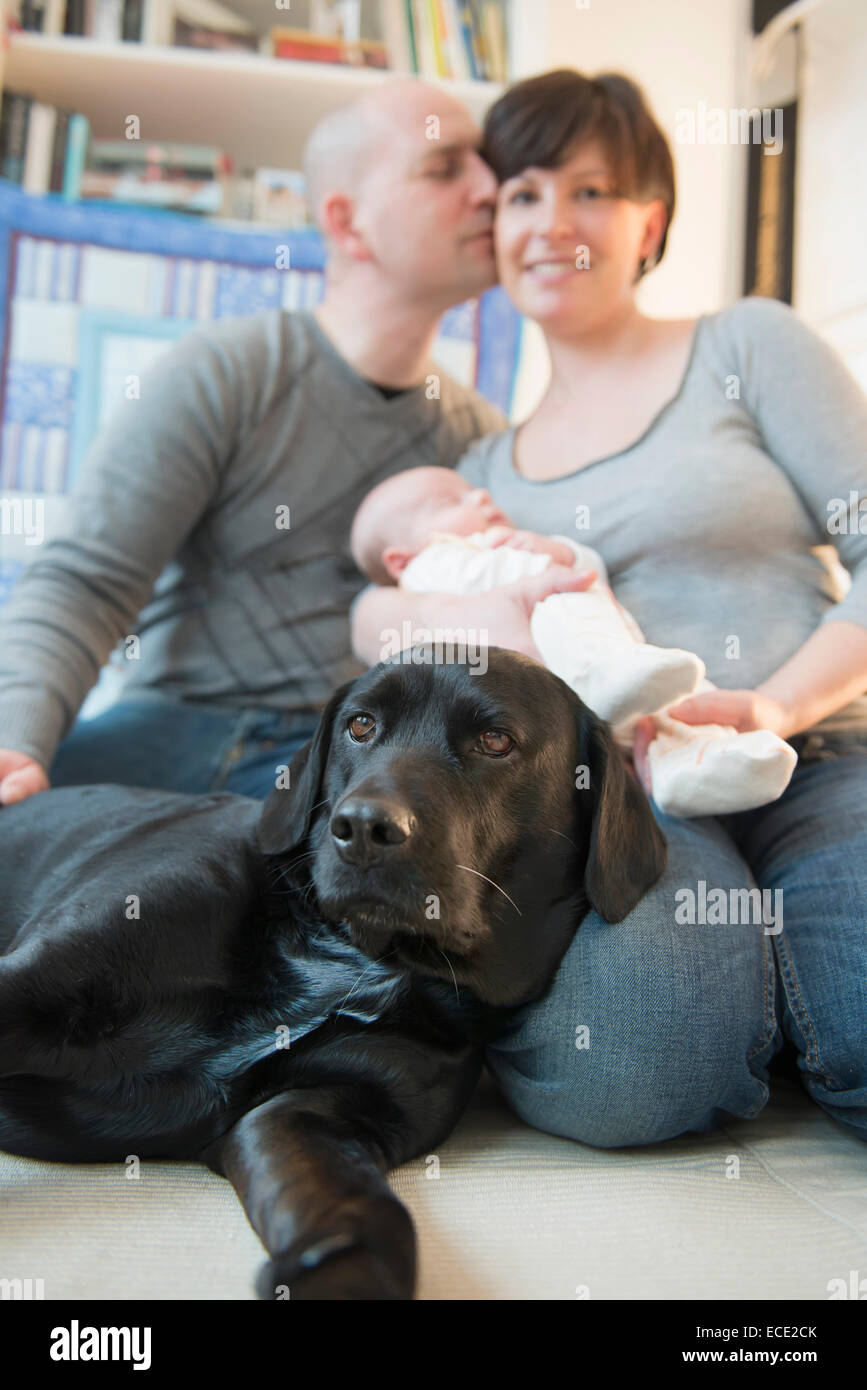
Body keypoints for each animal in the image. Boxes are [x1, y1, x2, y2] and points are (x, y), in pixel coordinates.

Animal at [0, 644, 664, 1295]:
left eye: (495, 740)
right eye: (360, 725)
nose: (364, 827)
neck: (348, 958)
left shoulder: (308, 1116)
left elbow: (373, 1218)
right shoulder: (37, 984)